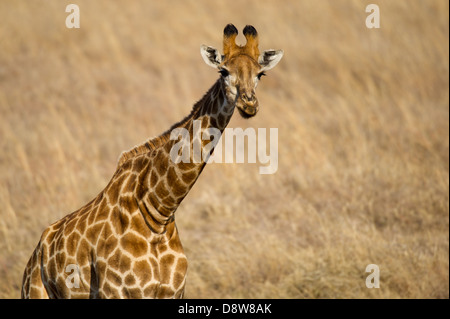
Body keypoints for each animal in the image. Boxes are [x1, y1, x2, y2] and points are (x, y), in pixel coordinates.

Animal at [22, 23, 282, 298]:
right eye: (223, 71)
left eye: (261, 73)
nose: (249, 104)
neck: (159, 213)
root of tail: (34, 258)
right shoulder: (114, 291)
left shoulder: (174, 291)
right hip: (35, 293)